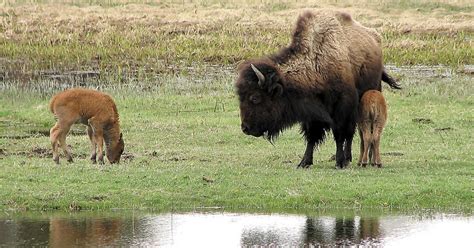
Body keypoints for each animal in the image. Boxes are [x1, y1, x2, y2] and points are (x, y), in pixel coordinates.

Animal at [236, 9, 400, 169]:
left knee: (354, 132)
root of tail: (375, 38)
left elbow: (339, 134)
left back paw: (355, 159)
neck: (317, 64)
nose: (245, 128)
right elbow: (311, 137)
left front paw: (339, 162)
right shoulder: (311, 113)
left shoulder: (342, 107)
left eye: (255, 98)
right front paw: (304, 162)